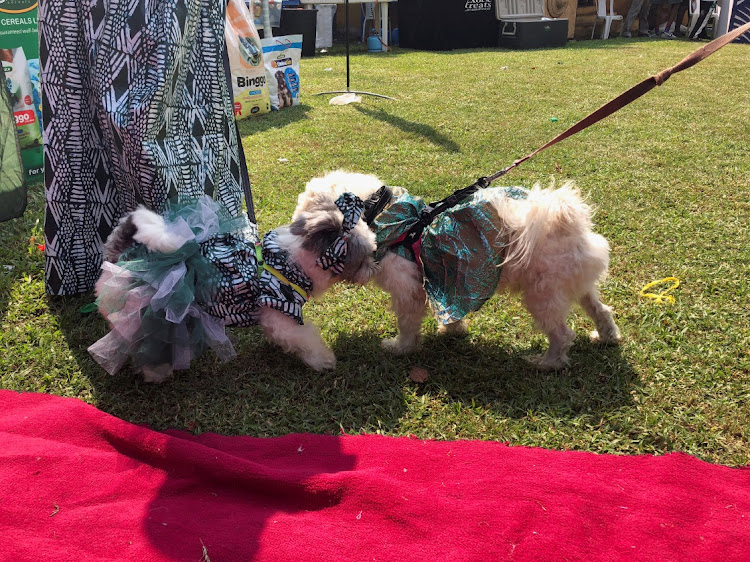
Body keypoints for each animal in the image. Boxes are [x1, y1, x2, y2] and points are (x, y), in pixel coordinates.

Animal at [90, 192, 378, 380]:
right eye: (362, 258)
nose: (374, 266)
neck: (290, 264)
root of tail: (118, 257)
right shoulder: (281, 312)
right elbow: (307, 338)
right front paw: (324, 359)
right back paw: (156, 372)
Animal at [296, 171, 624, 372]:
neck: (380, 211)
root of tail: (565, 220)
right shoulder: (447, 278)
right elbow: (451, 310)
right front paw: (452, 330)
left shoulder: (409, 290)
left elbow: (408, 324)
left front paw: (400, 348)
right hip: (576, 284)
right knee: (601, 309)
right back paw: (606, 336)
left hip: (543, 295)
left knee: (562, 334)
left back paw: (546, 362)